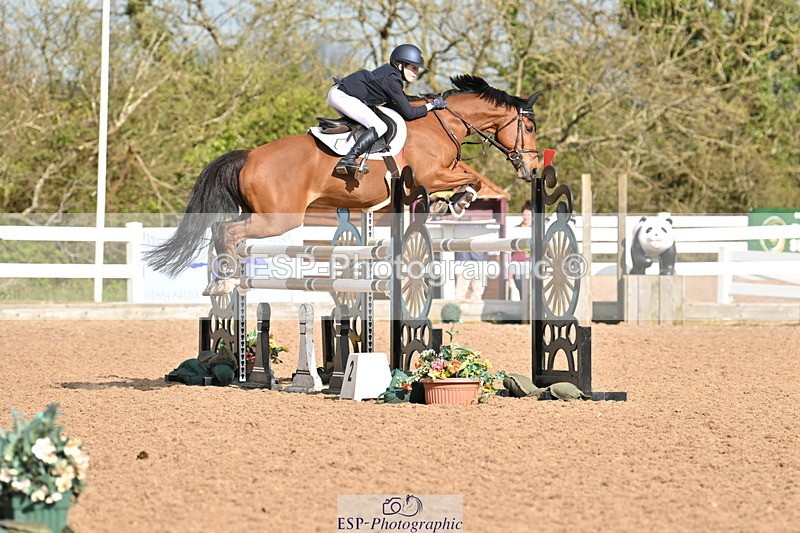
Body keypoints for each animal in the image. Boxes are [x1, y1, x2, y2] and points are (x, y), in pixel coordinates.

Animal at [144, 74, 541, 295]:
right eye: (530, 127)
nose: (533, 167)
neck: (442, 123)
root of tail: (250, 155)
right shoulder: (431, 174)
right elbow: (469, 178)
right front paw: (458, 201)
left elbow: (462, 179)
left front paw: (449, 203)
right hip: (280, 217)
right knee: (227, 231)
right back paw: (226, 280)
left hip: (263, 214)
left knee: (221, 230)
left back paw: (220, 280)